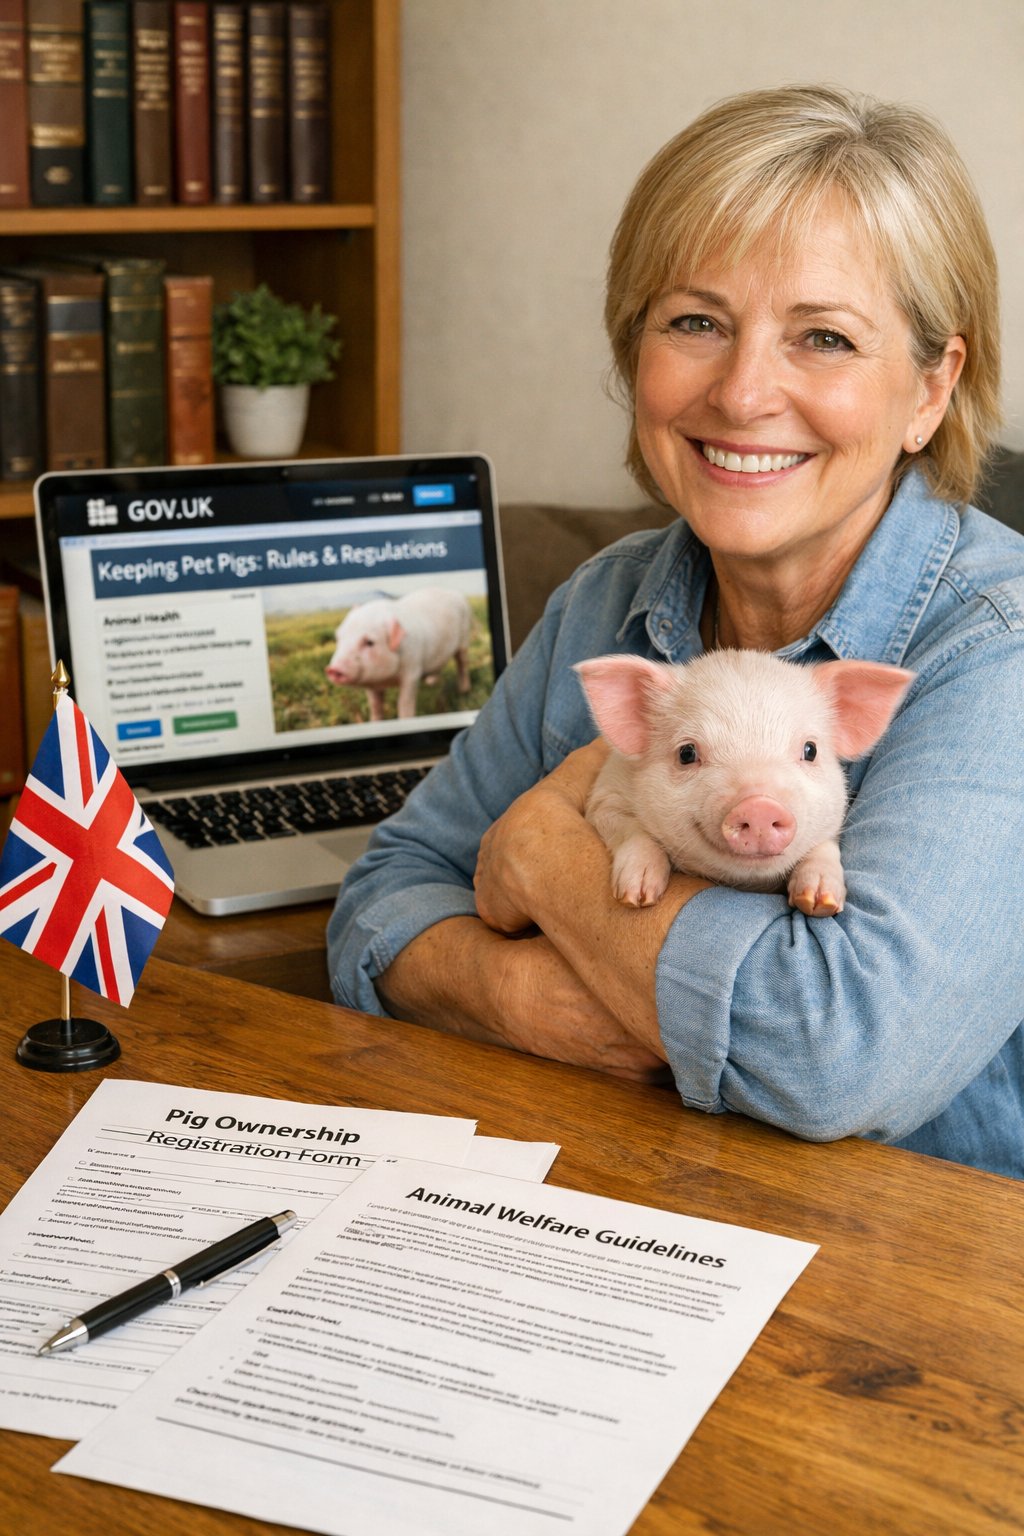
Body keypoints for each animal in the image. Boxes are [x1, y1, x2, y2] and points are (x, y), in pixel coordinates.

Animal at [325, 588, 473, 721]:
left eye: (369, 642)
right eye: (338, 638)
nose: (333, 669)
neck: (385, 680)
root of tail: (458, 594)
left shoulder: (412, 671)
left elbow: (404, 704)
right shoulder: (371, 685)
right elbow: (375, 706)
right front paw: (375, 722)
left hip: (465, 637)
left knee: (462, 663)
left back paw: (464, 691)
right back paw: (431, 683)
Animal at [575, 649, 914, 917]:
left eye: (810, 750)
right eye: (687, 753)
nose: (760, 806)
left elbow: (823, 847)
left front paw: (820, 903)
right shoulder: (606, 795)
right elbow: (631, 830)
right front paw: (636, 896)